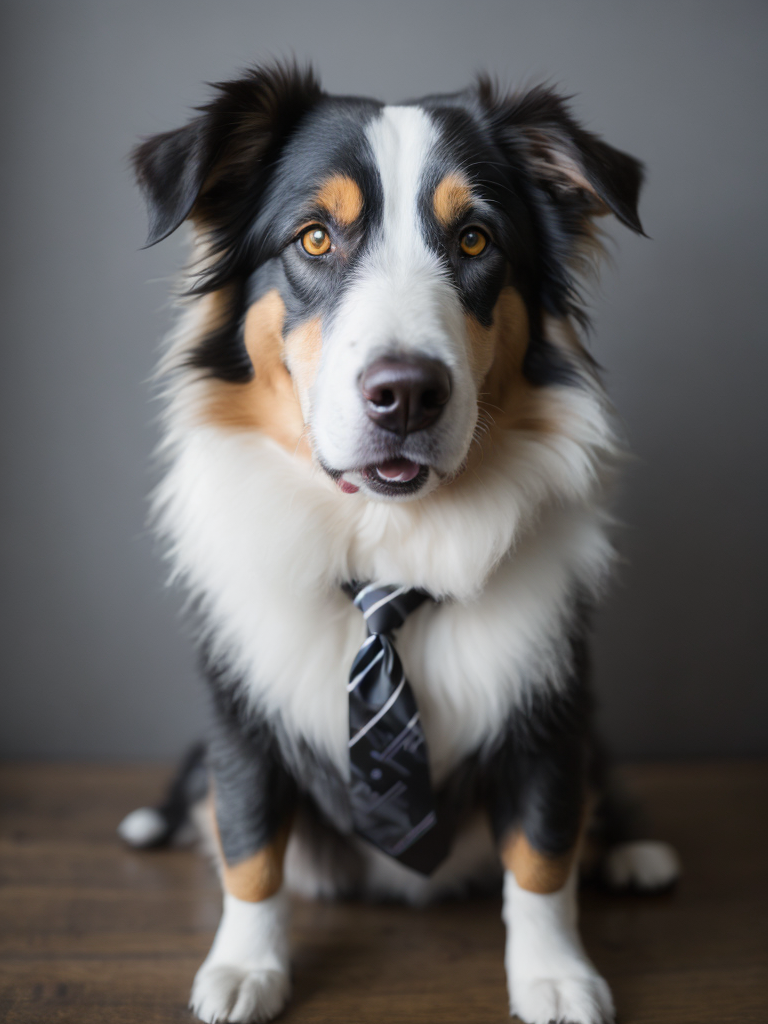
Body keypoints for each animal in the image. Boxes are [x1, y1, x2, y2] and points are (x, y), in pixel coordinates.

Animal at [118, 64, 679, 1024]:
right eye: (314, 237)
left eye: (475, 238)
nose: (407, 393)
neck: (388, 549)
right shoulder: (241, 713)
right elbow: (250, 843)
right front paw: (246, 967)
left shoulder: (550, 707)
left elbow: (543, 852)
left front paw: (554, 974)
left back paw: (636, 854)